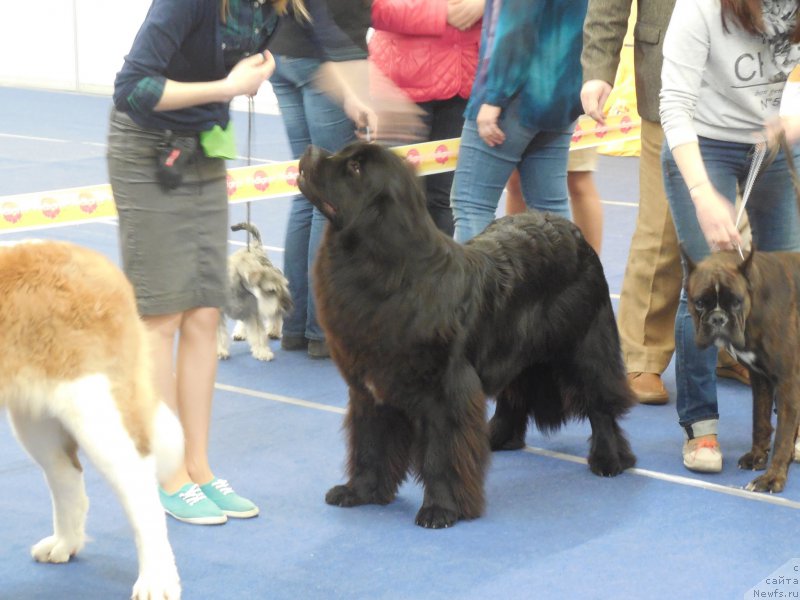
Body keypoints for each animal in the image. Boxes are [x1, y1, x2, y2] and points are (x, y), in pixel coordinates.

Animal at [0, 240, 183, 600]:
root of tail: (94, 260)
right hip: (36, 421)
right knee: (66, 474)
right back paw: (64, 544)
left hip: (96, 410)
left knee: (141, 491)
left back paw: (156, 580)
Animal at [217, 220, 292, 360]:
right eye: (271, 290)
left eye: (284, 286)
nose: (287, 306)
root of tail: (256, 246)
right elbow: (219, 335)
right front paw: (220, 351)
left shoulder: (253, 312)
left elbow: (258, 335)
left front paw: (262, 352)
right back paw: (240, 333)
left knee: (274, 318)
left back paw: (273, 331)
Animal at [296, 143, 636, 528]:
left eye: (354, 168)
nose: (310, 150)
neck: (385, 272)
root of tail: (574, 232)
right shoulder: (369, 390)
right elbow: (370, 444)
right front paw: (359, 491)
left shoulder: (445, 391)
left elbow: (441, 454)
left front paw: (440, 509)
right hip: (514, 348)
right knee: (515, 395)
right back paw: (495, 437)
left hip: (585, 345)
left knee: (600, 403)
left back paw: (609, 460)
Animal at [680, 246, 800, 494]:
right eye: (699, 302)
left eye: (736, 301)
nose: (718, 318)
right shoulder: (761, 379)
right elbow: (759, 420)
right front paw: (757, 456)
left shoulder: (787, 381)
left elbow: (783, 435)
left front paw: (773, 477)